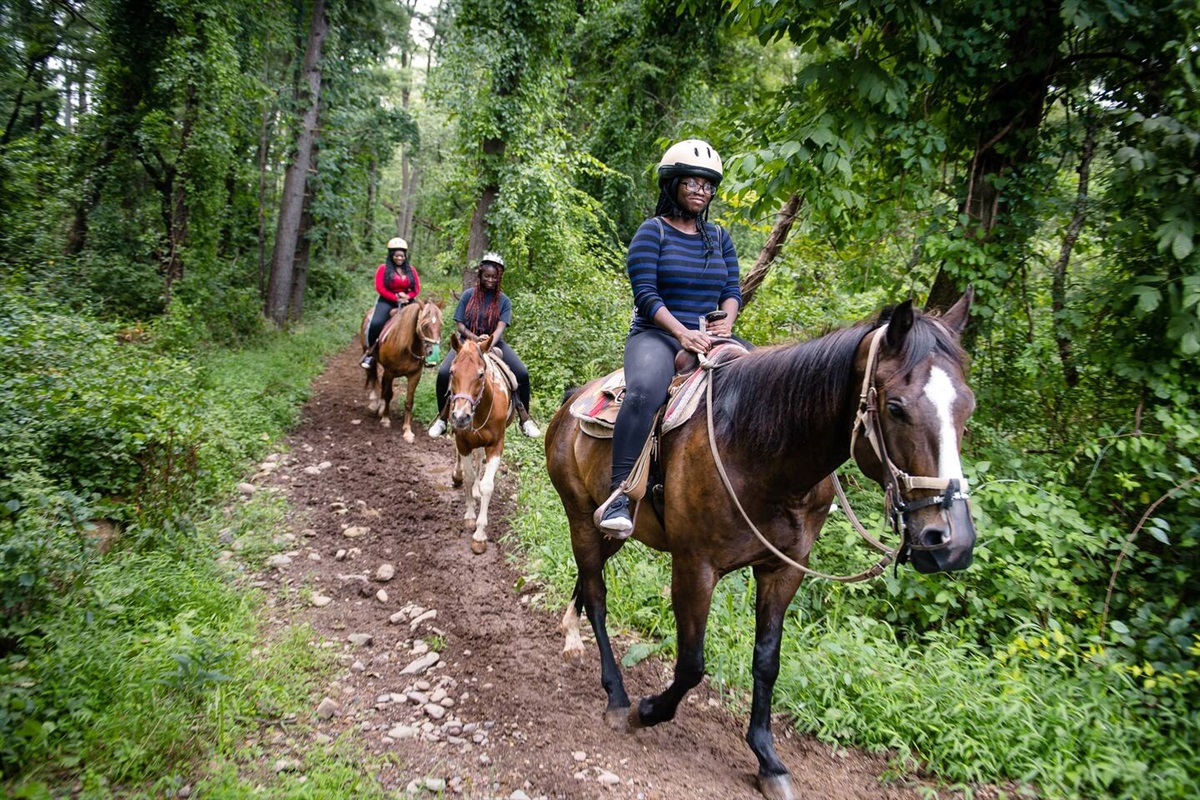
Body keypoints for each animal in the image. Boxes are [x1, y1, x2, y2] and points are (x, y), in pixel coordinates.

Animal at [364, 298, 446, 441]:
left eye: (440, 325)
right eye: (424, 325)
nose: (434, 354)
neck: (406, 346)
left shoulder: (414, 375)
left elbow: (409, 401)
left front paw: (407, 430)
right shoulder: (390, 372)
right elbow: (388, 394)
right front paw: (385, 420)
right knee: (373, 376)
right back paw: (374, 405)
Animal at [444, 335, 513, 554]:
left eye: (481, 374)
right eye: (452, 372)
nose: (461, 416)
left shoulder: (496, 445)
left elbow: (487, 485)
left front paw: (480, 535)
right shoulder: (463, 441)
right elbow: (467, 476)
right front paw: (469, 517)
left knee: (479, 458)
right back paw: (456, 475)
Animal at [549, 293, 979, 800]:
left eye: (968, 409)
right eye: (895, 407)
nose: (952, 542)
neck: (760, 448)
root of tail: (571, 401)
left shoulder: (784, 570)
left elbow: (767, 661)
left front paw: (768, 760)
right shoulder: (694, 567)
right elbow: (692, 663)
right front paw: (648, 710)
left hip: (611, 532)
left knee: (586, 578)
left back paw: (571, 633)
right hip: (581, 517)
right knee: (598, 596)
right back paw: (616, 697)